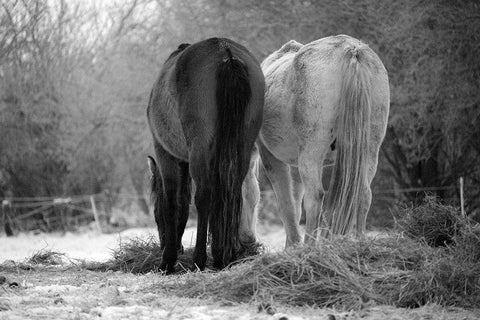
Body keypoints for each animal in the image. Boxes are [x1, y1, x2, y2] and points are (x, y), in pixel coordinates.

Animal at [147, 37, 264, 272]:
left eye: (155, 214)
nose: (163, 243)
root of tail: (226, 53)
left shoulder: (166, 154)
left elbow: (173, 201)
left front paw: (168, 260)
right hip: (242, 145)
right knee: (232, 192)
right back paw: (225, 256)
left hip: (200, 151)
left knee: (204, 197)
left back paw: (200, 259)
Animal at [244, 34, 390, 245]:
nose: (248, 239)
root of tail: (351, 50)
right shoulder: (294, 163)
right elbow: (294, 203)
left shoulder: (270, 156)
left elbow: (286, 204)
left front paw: (293, 246)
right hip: (369, 151)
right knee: (364, 194)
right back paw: (360, 241)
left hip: (311, 154)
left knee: (315, 197)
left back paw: (310, 246)